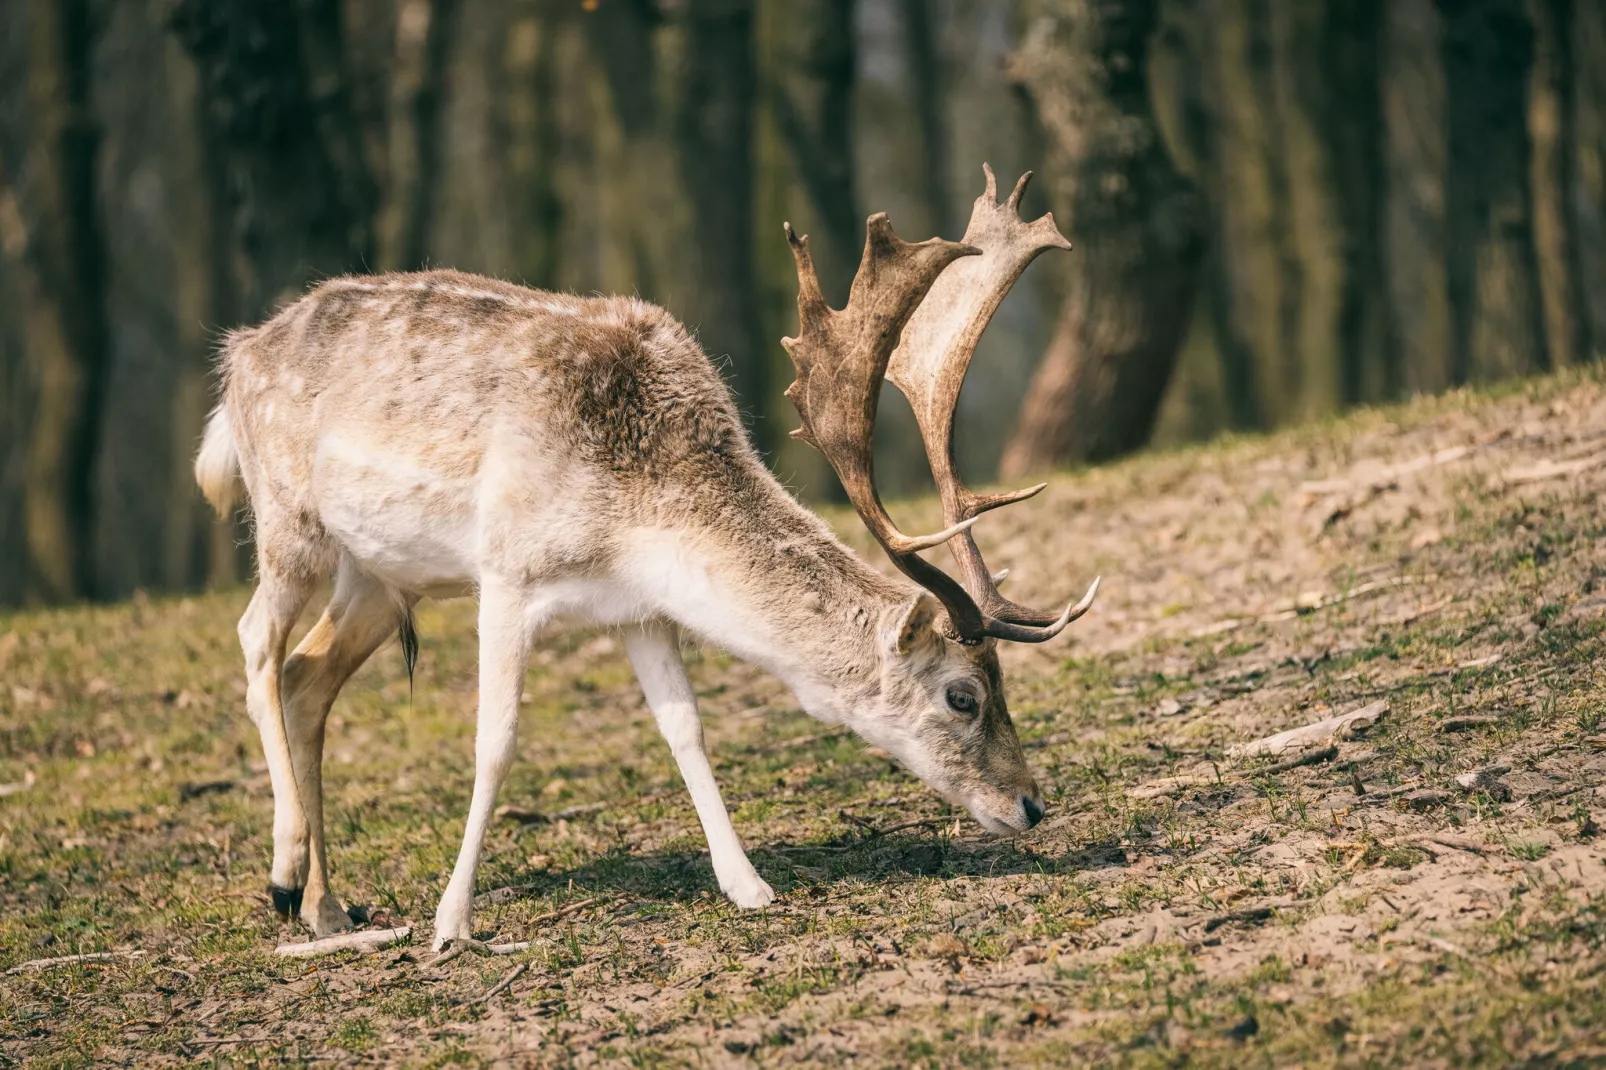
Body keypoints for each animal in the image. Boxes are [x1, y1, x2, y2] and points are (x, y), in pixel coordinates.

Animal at [187, 162, 1092, 944]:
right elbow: (495, 741)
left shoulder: (639, 609)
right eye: (963, 695)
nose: (1031, 805)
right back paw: (284, 877)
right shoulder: (506, 570)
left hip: (381, 575)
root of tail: (235, 358)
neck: (634, 506)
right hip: (289, 519)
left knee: (306, 675)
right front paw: (452, 923)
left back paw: (326, 908)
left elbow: (684, 728)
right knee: (255, 642)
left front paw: (749, 886)